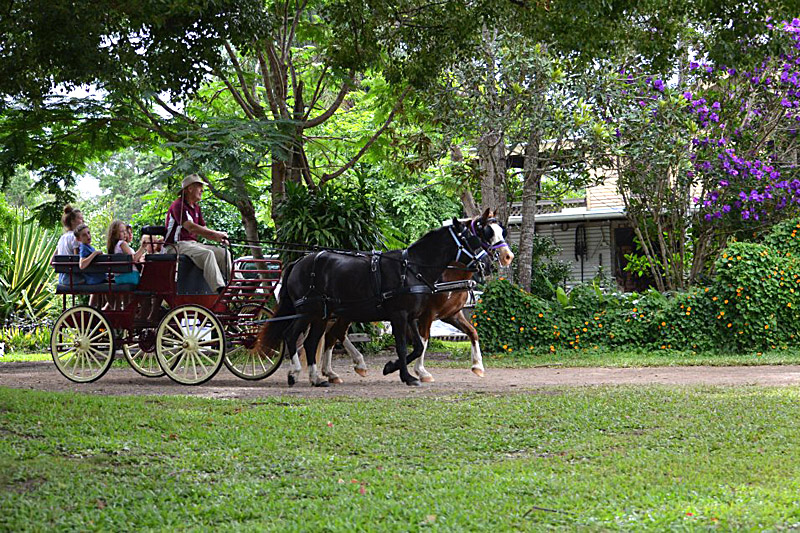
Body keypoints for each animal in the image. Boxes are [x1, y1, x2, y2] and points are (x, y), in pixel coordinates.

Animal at [260, 218, 490, 384]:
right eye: (471, 240)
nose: (488, 263)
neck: (411, 268)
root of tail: (299, 261)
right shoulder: (399, 315)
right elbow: (403, 347)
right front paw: (407, 376)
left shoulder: (412, 317)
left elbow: (417, 347)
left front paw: (391, 368)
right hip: (309, 311)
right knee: (291, 335)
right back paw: (295, 373)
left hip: (321, 315)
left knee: (311, 342)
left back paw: (317, 378)